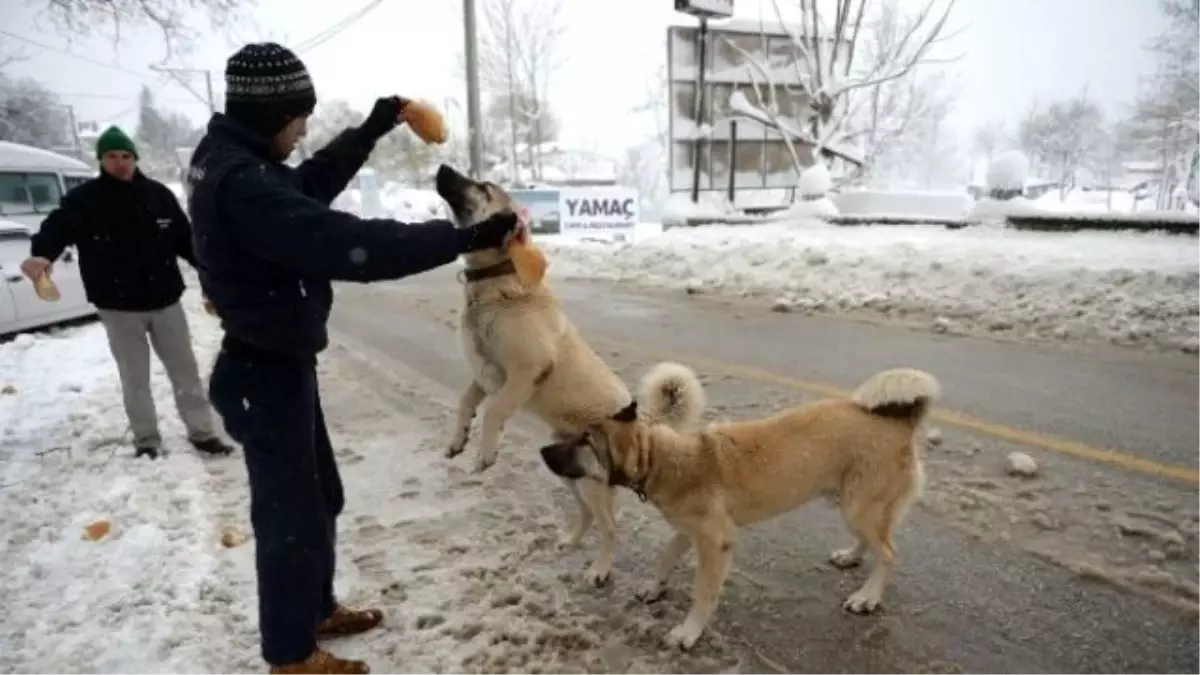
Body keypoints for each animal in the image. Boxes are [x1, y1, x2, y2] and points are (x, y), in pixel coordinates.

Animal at [434, 162, 700, 583]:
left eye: (483, 187)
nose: (442, 167)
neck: (497, 281)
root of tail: (640, 424)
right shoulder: (486, 374)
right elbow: (466, 401)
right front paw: (458, 439)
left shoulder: (525, 372)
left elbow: (495, 409)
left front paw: (485, 452)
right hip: (565, 466)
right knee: (589, 514)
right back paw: (573, 541)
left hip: (590, 478)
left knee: (610, 524)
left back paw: (601, 569)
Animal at [540, 362, 940, 653]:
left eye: (584, 441)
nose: (543, 450)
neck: (660, 459)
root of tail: (901, 422)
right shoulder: (688, 531)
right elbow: (666, 557)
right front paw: (654, 588)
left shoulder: (715, 542)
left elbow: (703, 592)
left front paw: (688, 632)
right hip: (854, 503)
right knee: (874, 541)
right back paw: (852, 556)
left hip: (860, 507)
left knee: (889, 553)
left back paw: (867, 597)